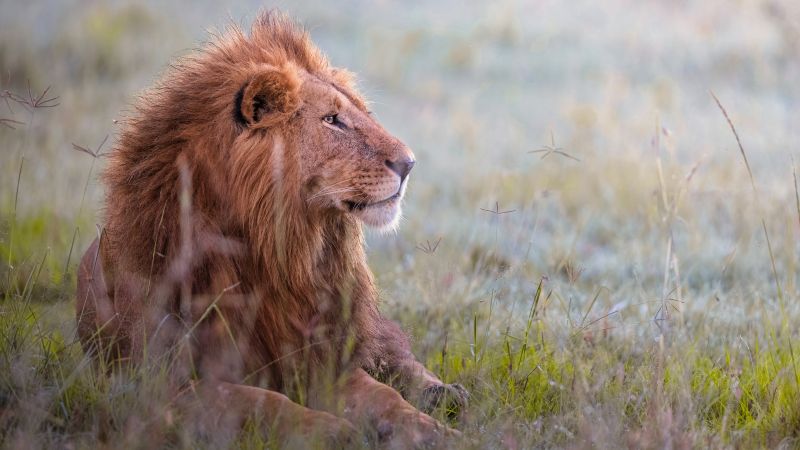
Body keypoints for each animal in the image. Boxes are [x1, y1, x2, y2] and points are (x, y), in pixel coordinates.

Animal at [75, 10, 467, 448]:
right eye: (332, 120)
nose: (410, 163)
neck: (279, 254)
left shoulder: (321, 357)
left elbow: (384, 396)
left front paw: (433, 431)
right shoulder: (162, 388)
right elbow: (261, 401)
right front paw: (333, 431)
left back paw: (445, 394)